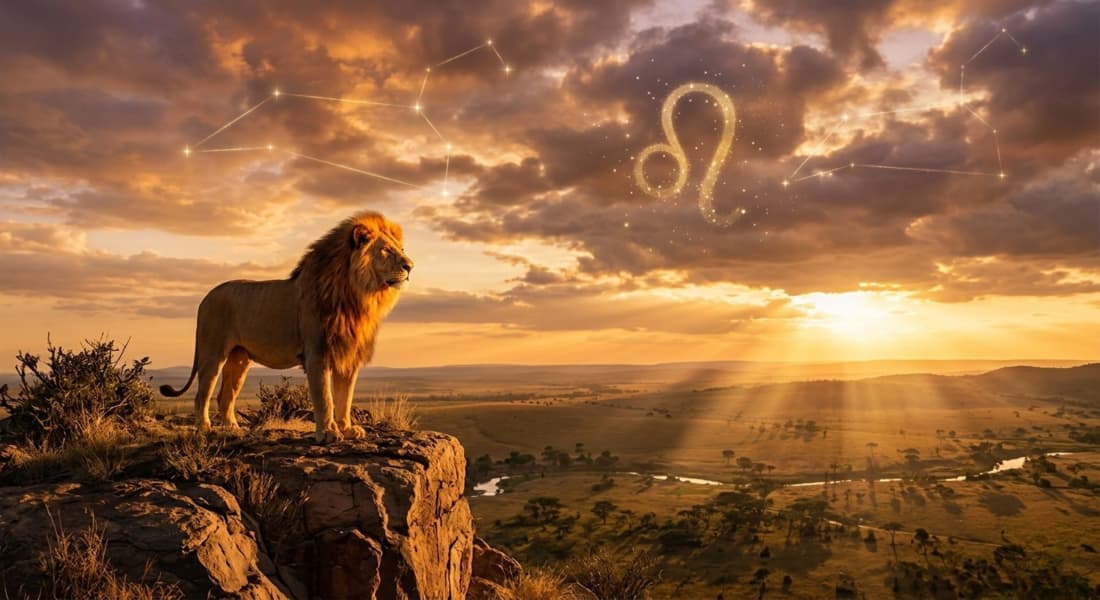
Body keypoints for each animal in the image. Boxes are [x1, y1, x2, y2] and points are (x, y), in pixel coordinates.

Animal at [159, 210, 413, 442]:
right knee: (202, 394)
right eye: (386, 250)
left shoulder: (348, 356)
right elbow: (325, 398)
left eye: (401, 249)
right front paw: (328, 433)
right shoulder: (317, 353)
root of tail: (206, 297)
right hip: (213, 353)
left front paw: (348, 429)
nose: (410, 266)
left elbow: (345, 398)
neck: (356, 296)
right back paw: (205, 428)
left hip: (239, 359)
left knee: (224, 396)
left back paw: (233, 428)